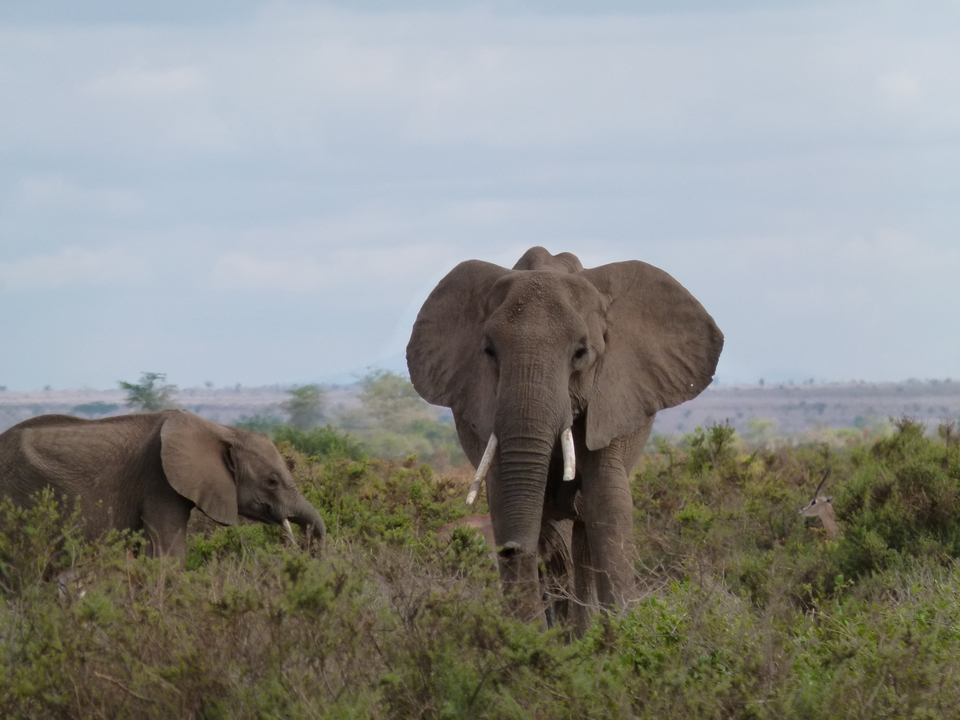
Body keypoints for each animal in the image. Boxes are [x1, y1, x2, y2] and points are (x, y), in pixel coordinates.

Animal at [407, 246, 722, 629]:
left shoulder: (610, 396)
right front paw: (526, 636)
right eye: (490, 352)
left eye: (581, 353)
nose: (509, 549)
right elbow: (506, 500)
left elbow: (607, 502)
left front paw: (620, 633)